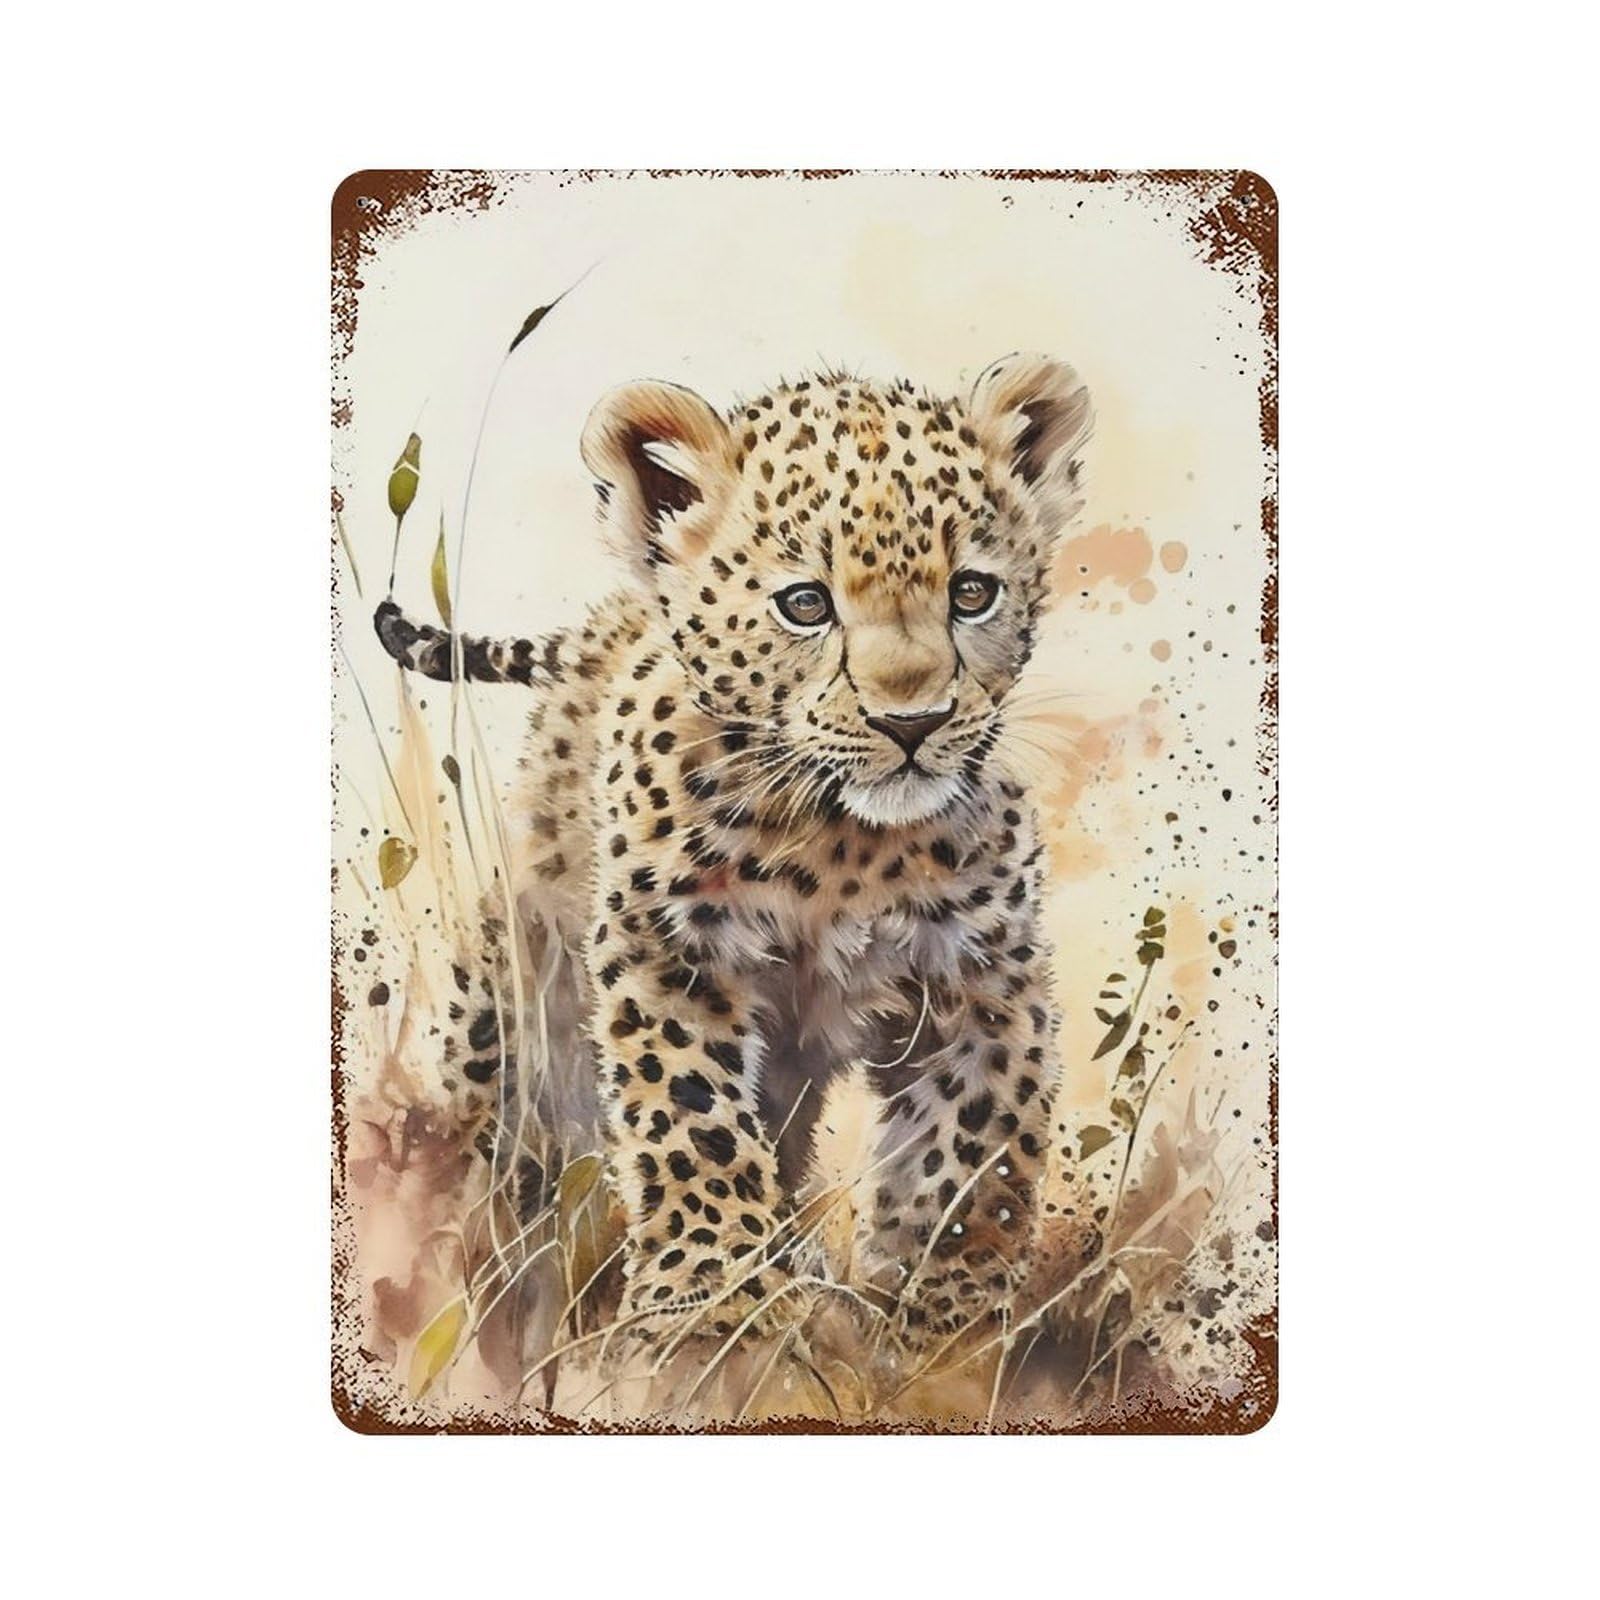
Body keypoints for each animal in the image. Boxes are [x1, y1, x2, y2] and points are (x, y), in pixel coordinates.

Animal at [373, 353, 1094, 1358]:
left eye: (972, 592)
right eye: (805, 604)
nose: (912, 723)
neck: (844, 847)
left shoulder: (986, 978)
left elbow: (969, 1151)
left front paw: (945, 1324)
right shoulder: (667, 947)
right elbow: (691, 1116)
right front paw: (712, 1298)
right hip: (522, 962)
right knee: (503, 1090)